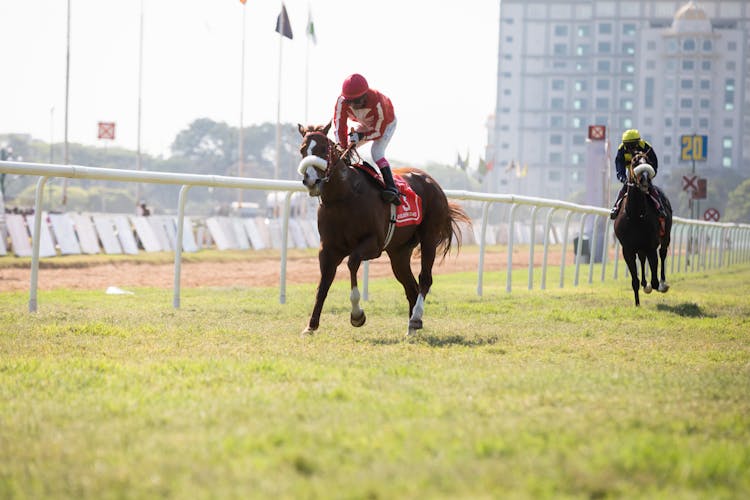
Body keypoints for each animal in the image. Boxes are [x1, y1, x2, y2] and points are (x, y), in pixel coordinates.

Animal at [298, 122, 470, 336]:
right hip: (399, 252)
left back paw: (415, 318)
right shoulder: (328, 249)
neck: (343, 197)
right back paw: (411, 328)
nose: (310, 180)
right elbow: (323, 286)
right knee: (410, 286)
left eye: (322, 149)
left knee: (424, 279)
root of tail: (433, 182)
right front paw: (311, 326)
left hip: (429, 237)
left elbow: (352, 263)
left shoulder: (374, 244)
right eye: (302, 150)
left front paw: (357, 315)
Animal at [616, 151, 676, 304]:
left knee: (662, 253)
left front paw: (654, 286)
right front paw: (637, 303)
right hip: (639, 247)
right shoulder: (627, 249)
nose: (644, 179)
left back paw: (662, 283)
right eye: (634, 162)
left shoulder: (650, 246)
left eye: (648, 160)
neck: (636, 215)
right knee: (642, 260)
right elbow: (634, 281)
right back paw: (644, 283)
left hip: (665, 237)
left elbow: (654, 281)